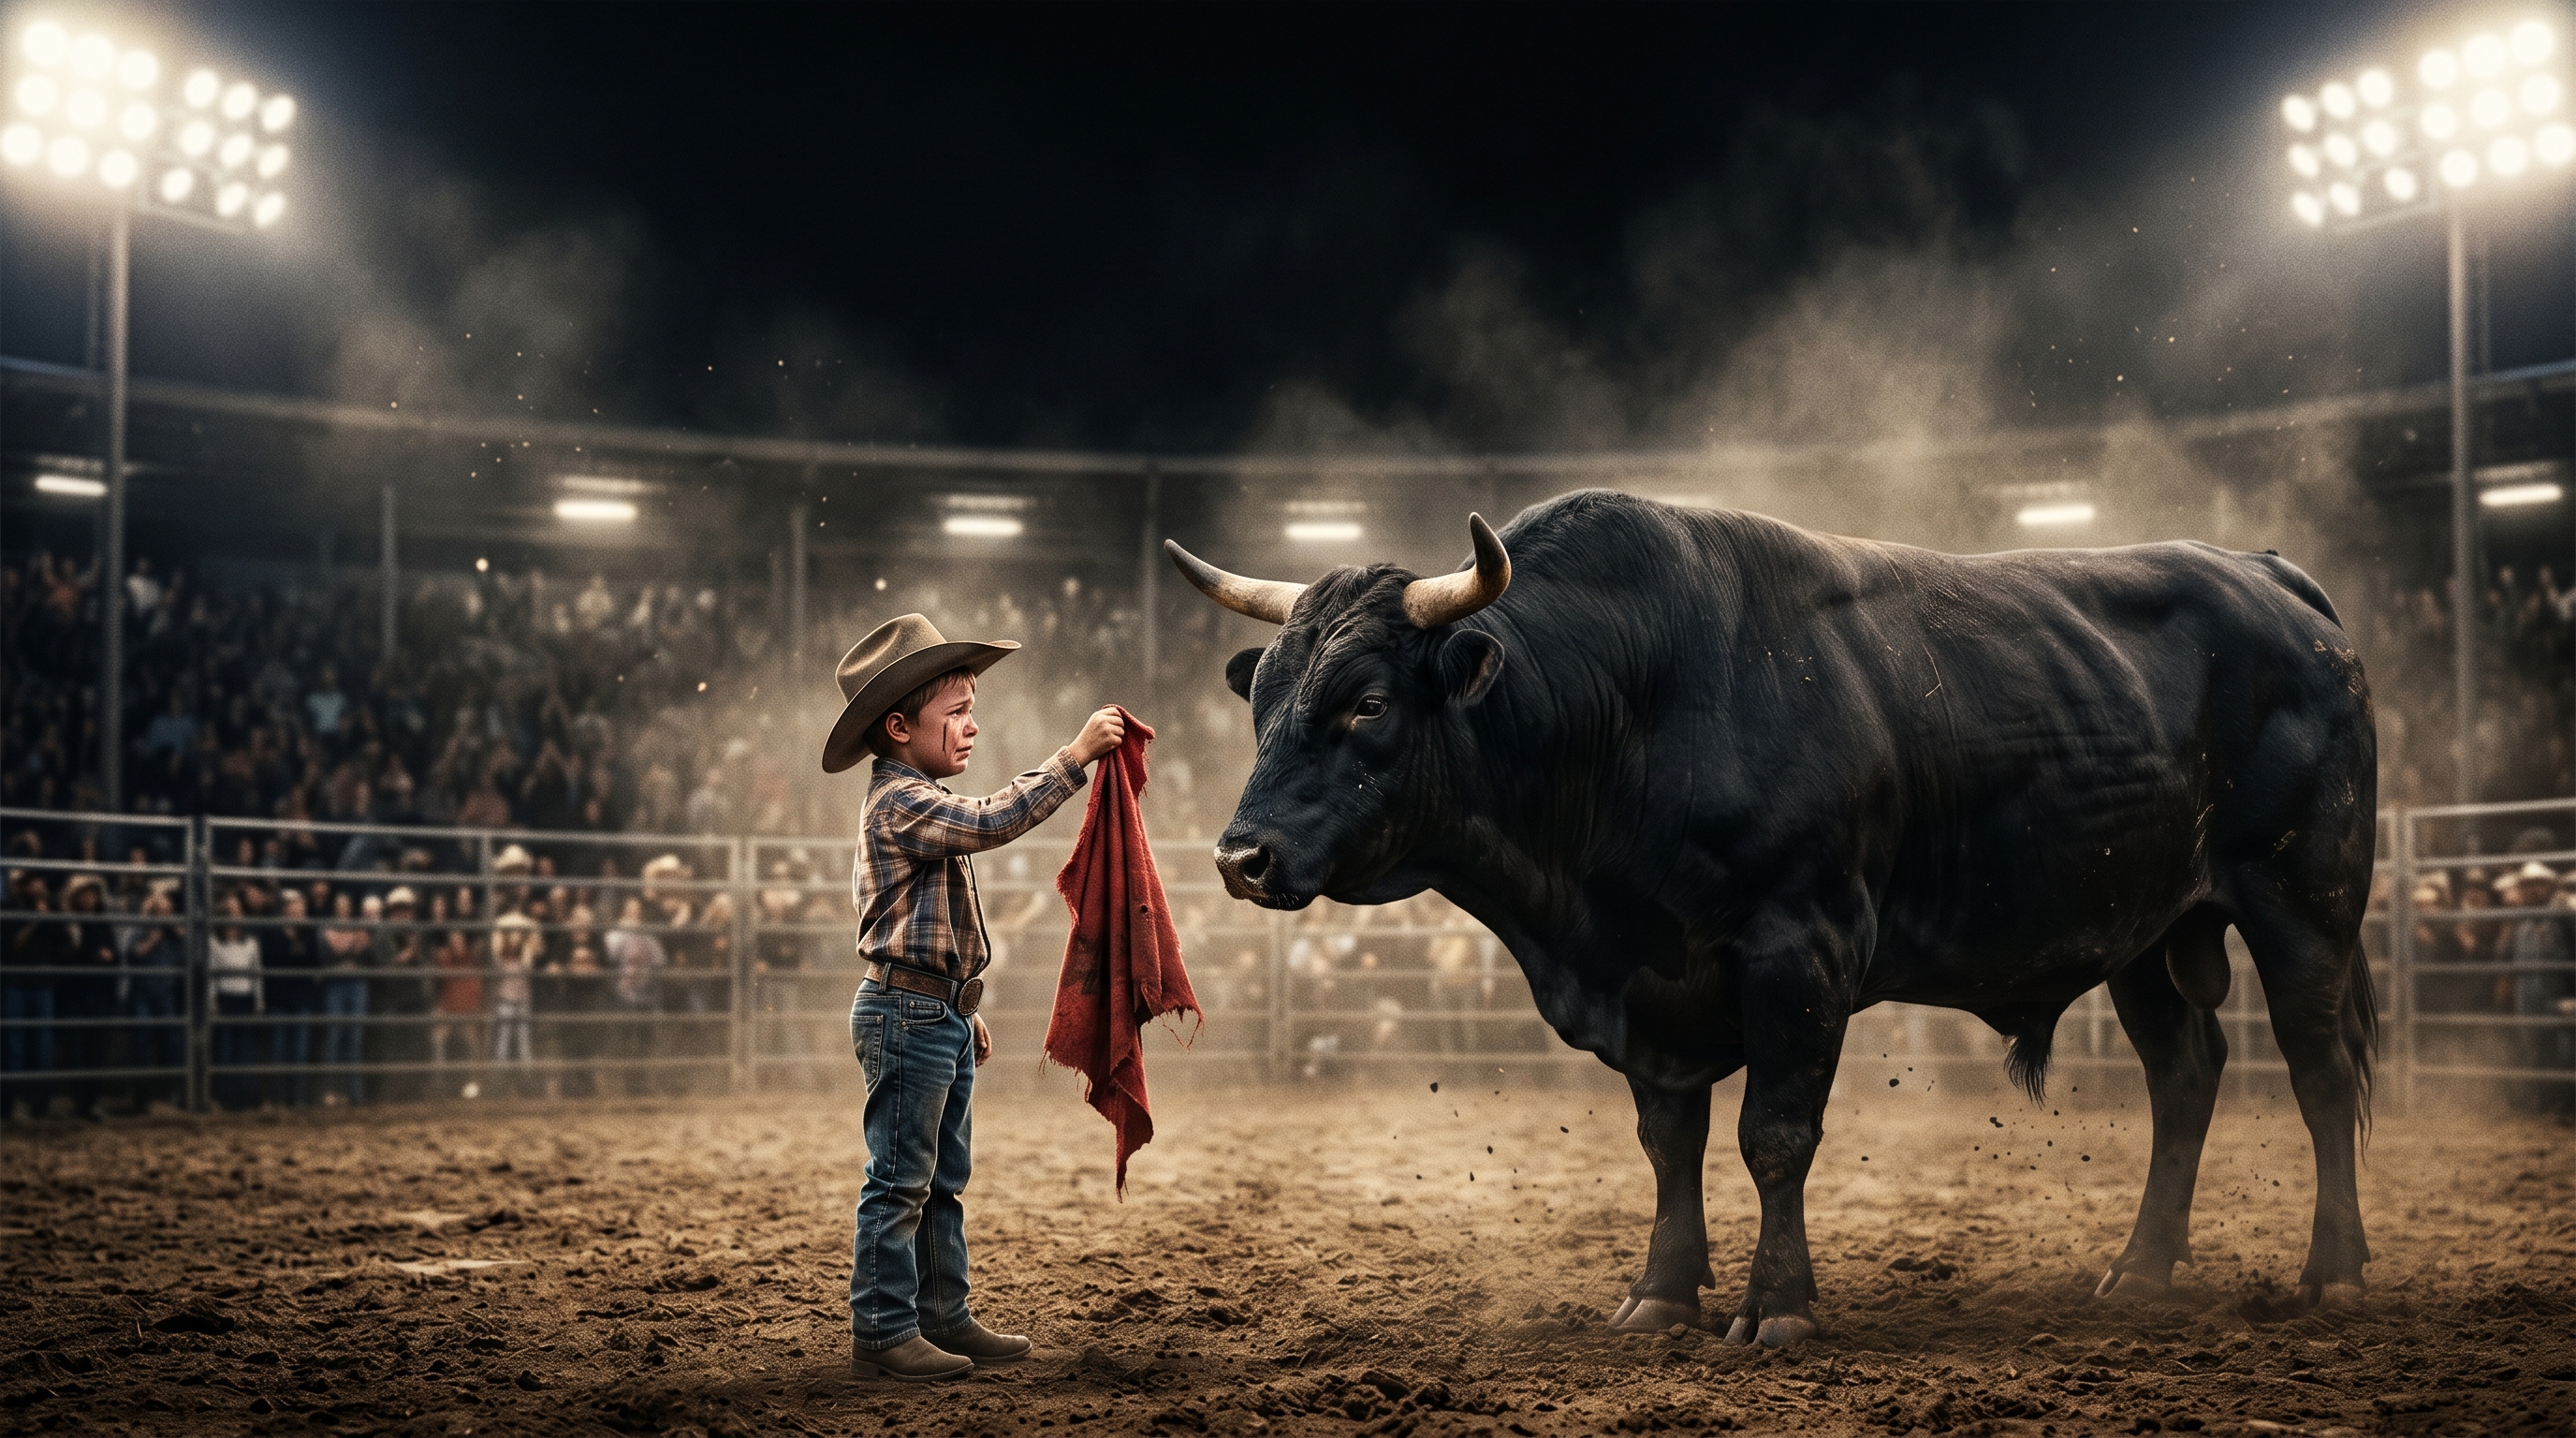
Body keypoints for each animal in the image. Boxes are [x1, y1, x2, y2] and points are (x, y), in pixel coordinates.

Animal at [1166, 489, 2377, 1347]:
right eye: (1263, 699)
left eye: (1366, 704)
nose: (1238, 856)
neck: (1631, 711)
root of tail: (2269, 579)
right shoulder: (1645, 980)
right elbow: (1668, 1143)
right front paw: (1660, 1295)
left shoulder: (1801, 953)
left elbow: (1773, 1136)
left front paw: (1778, 1306)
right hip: (2145, 931)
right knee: (2185, 1075)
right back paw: (2139, 1272)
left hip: (2304, 903)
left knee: (2317, 1073)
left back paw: (2332, 1273)